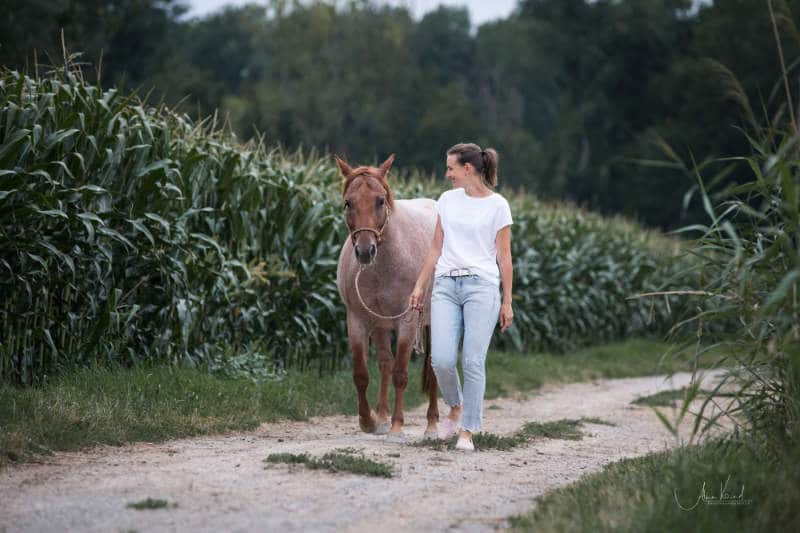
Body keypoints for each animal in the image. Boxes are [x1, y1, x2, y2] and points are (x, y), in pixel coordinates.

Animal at [334, 153, 440, 436]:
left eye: (380, 200)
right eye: (348, 202)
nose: (365, 251)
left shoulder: (407, 323)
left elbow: (401, 373)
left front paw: (397, 424)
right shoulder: (357, 320)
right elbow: (362, 373)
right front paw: (368, 421)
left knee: (434, 365)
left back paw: (433, 423)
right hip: (381, 325)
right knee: (385, 363)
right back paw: (381, 416)